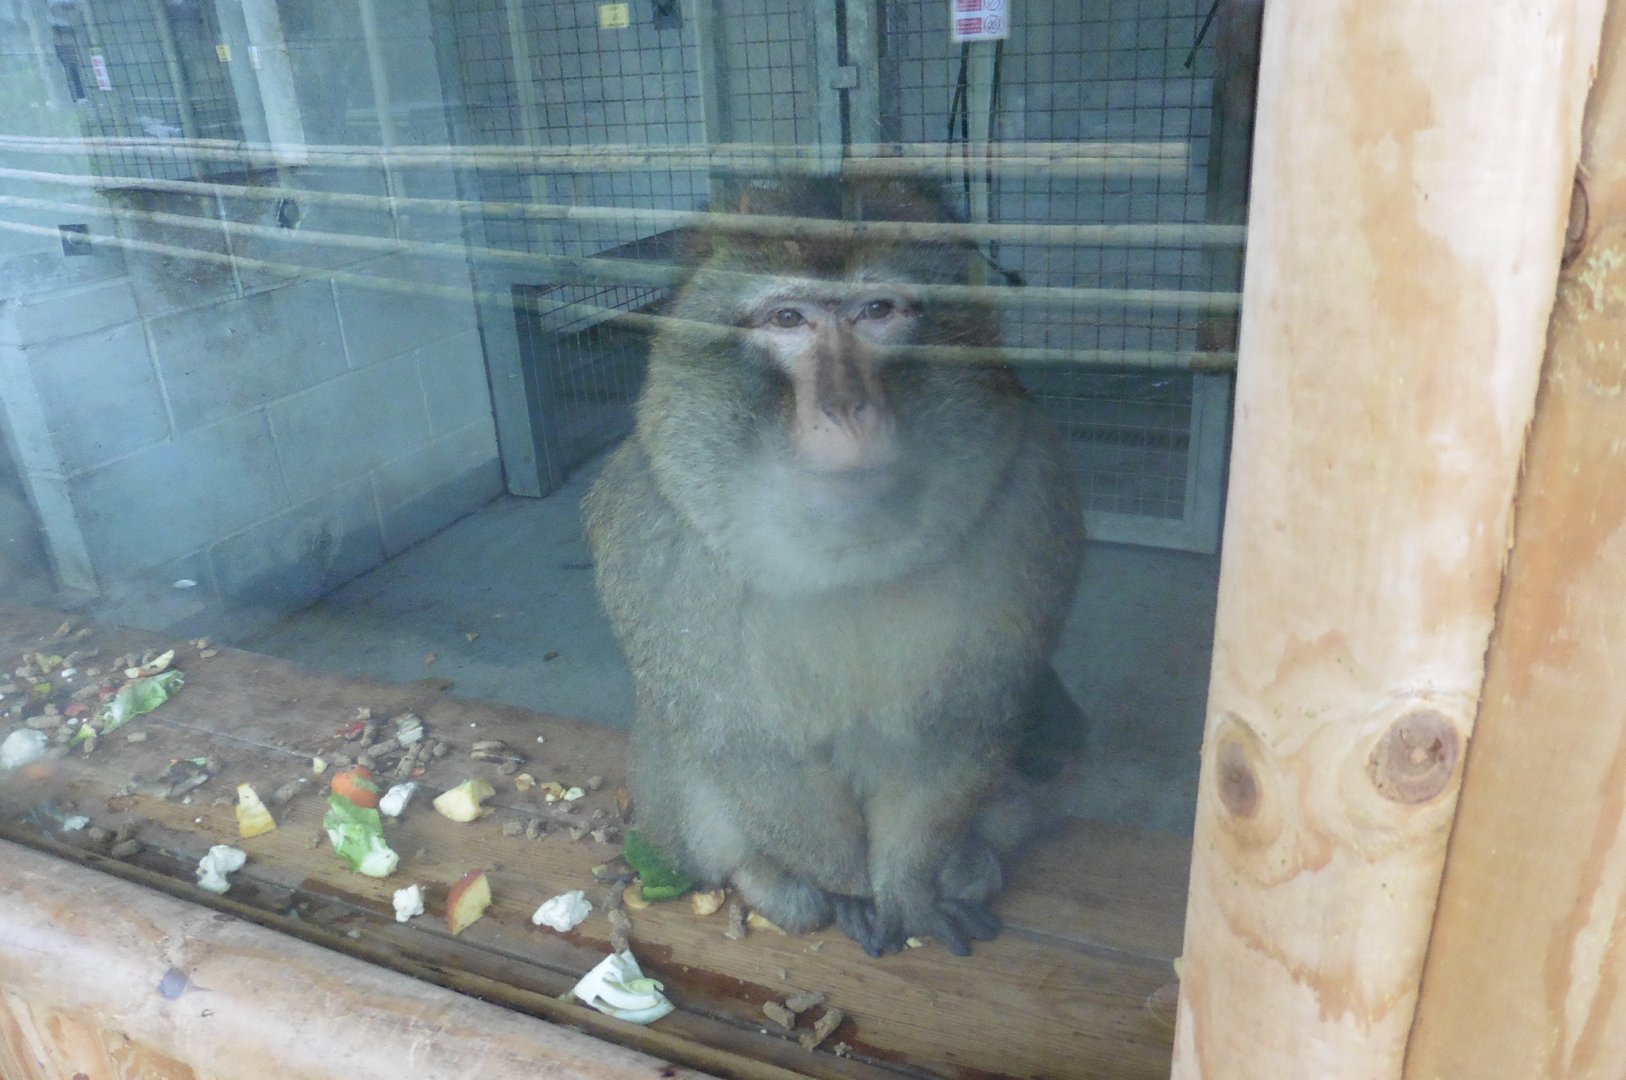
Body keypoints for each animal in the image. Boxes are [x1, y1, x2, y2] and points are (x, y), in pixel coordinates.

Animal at [583, 177, 1084, 957]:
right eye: (788, 318)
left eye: (877, 311)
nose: (845, 405)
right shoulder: (660, 541)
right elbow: (746, 742)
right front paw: (851, 886)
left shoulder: (1027, 502)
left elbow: (958, 723)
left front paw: (907, 887)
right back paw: (770, 881)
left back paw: (969, 862)